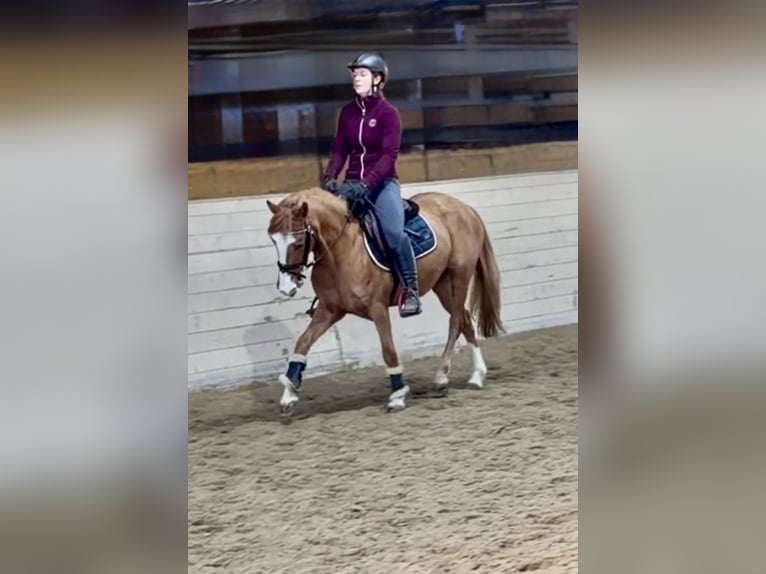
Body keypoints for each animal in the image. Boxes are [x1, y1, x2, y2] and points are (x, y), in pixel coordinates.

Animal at [266, 186, 504, 414]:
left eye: (297, 242)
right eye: (274, 240)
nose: (285, 287)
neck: (343, 251)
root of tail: (465, 208)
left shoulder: (377, 308)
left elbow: (388, 350)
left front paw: (397, 396)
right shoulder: (329, 310)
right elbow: (303, 343)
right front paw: (289, 395)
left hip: (459, 277)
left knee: (455, 321)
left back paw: (442, 378)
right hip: (443, 284)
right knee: (464, 318)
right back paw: (477, 375)